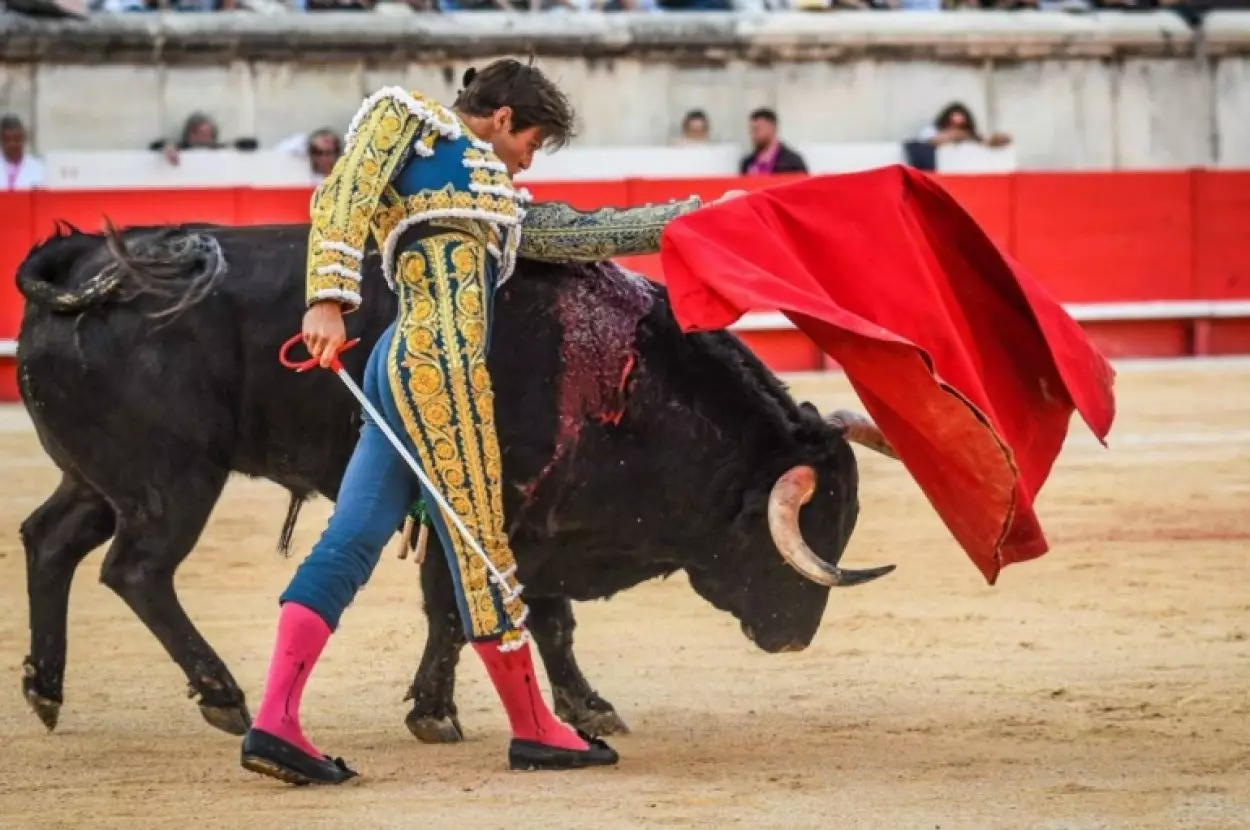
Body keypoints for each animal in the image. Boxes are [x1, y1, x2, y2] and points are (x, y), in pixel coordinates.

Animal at [9, 218, 895, 740]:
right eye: (801, 532)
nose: (794, 637)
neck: (626, 381)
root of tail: (84, 262)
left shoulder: (543, 529)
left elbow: (550, 622)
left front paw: (588, 708)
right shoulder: (469, 513)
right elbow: (456, 613)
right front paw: (435, 714)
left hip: (101, 478)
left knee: (49, 541)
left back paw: (46, 688)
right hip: (173, 481)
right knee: (137, 569)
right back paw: (222, 694)